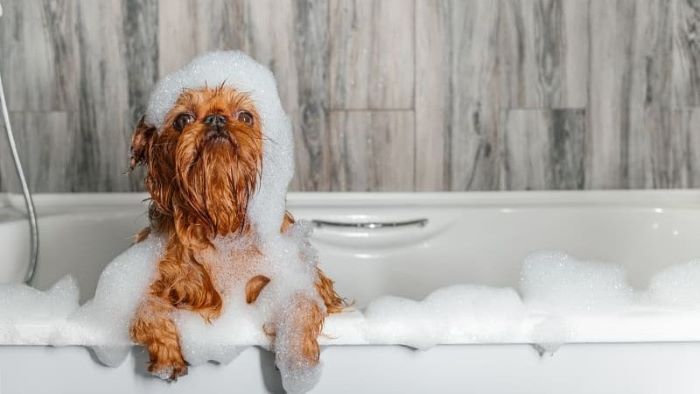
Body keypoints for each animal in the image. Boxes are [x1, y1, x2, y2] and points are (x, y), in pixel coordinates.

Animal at [126, 74, 344, 378]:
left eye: (245, 117)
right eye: (182, 119)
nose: (216, 119)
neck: (221, 227)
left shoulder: (299, 277)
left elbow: (301, 305)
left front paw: (298, 361)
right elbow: (147, 309)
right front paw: (167, 355)